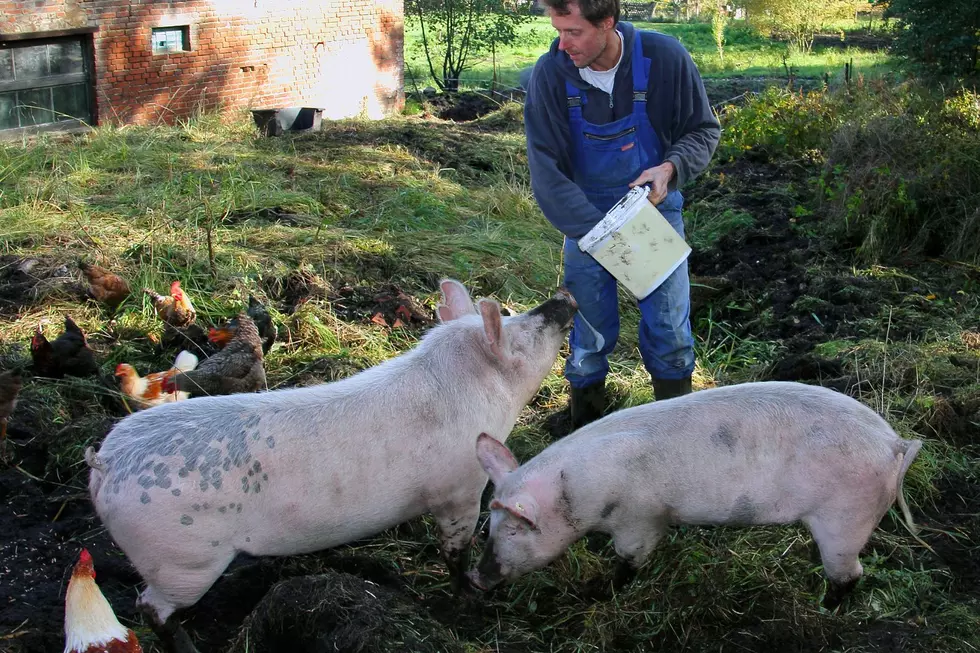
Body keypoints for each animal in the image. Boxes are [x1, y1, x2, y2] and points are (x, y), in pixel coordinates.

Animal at [86, 279, 577, 653]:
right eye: (523, 333)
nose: (565, 296)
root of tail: (105, 461)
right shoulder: (459, 489)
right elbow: (455, 548)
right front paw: (468, 597)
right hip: (182, 560)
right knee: (149, 608)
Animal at [467, 381, 922, 610]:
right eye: (488, 527)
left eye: (515, 530)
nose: (475, 577)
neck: (574, 491)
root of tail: (893, 444)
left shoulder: (638, 517)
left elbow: (630, 559)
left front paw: (594, 593)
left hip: (846, 515)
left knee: (851, 574)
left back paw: (825, 606)